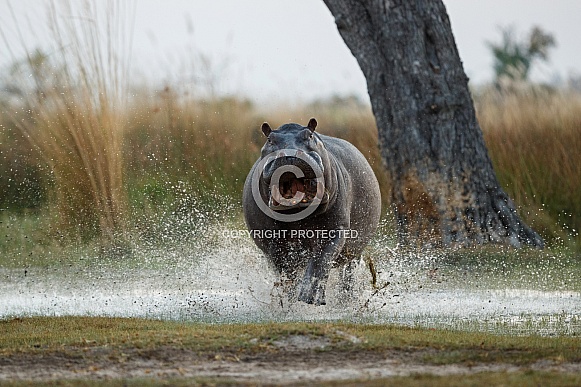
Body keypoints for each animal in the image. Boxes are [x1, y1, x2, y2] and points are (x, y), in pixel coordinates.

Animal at [240, 118, 380, 306]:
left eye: (310, 135)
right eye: (270, 139)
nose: (291, 154)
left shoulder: (336, 230)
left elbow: (321, 261)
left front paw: (310, 298)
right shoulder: (271, 241)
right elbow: (285, 270)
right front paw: (289, 301)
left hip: (355, 250)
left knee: (347, 274)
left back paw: (346, 302)